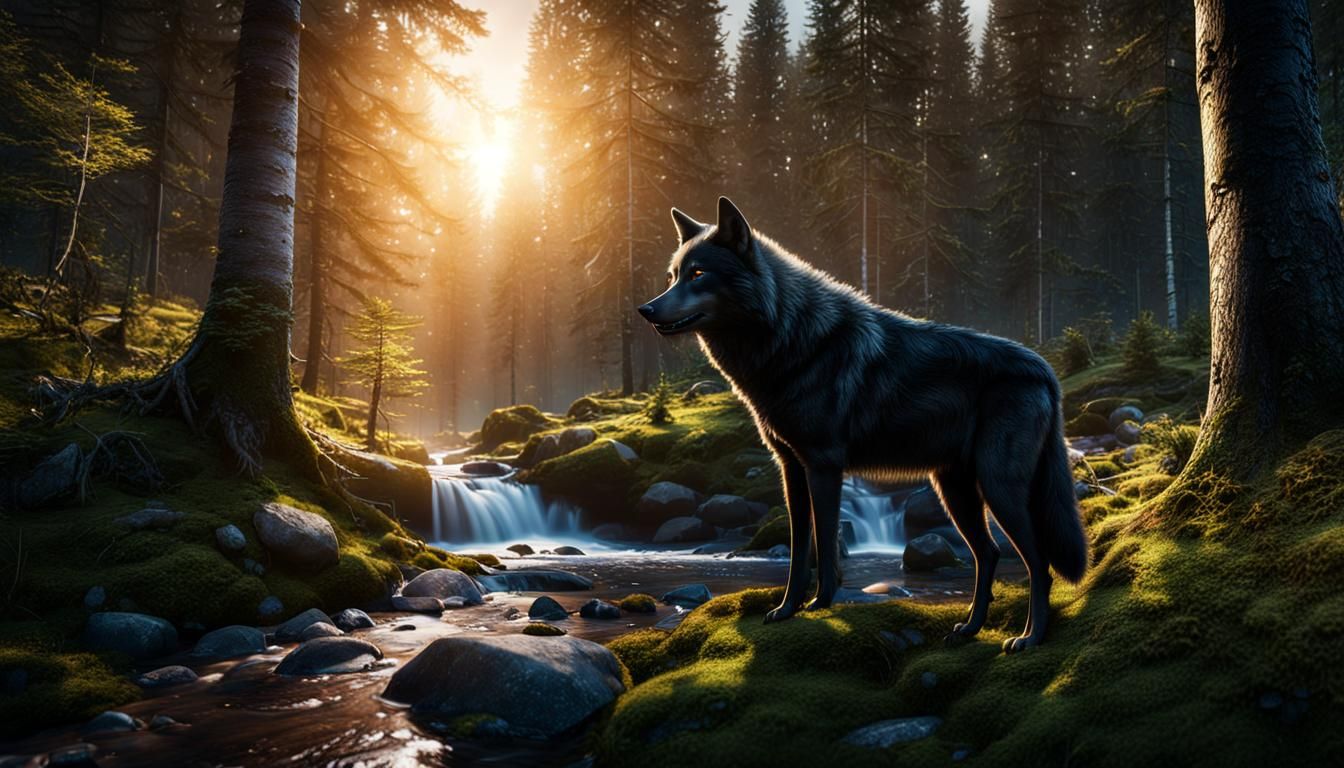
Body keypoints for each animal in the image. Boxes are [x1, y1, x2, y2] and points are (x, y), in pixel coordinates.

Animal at [636, 197, 1089, 651]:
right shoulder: (791, 469)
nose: (646, 309)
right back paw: (969, 629)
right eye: (673, 276)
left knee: (1038, 562)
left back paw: (1030, 637)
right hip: (955, 491)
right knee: (990, 553)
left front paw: (820, 603)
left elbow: (824, 543)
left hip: (998, 487)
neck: (790, 338)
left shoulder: (824, 467)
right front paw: (787, 609)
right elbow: (799, 549)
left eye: (698, 275)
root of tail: (1044, 369)